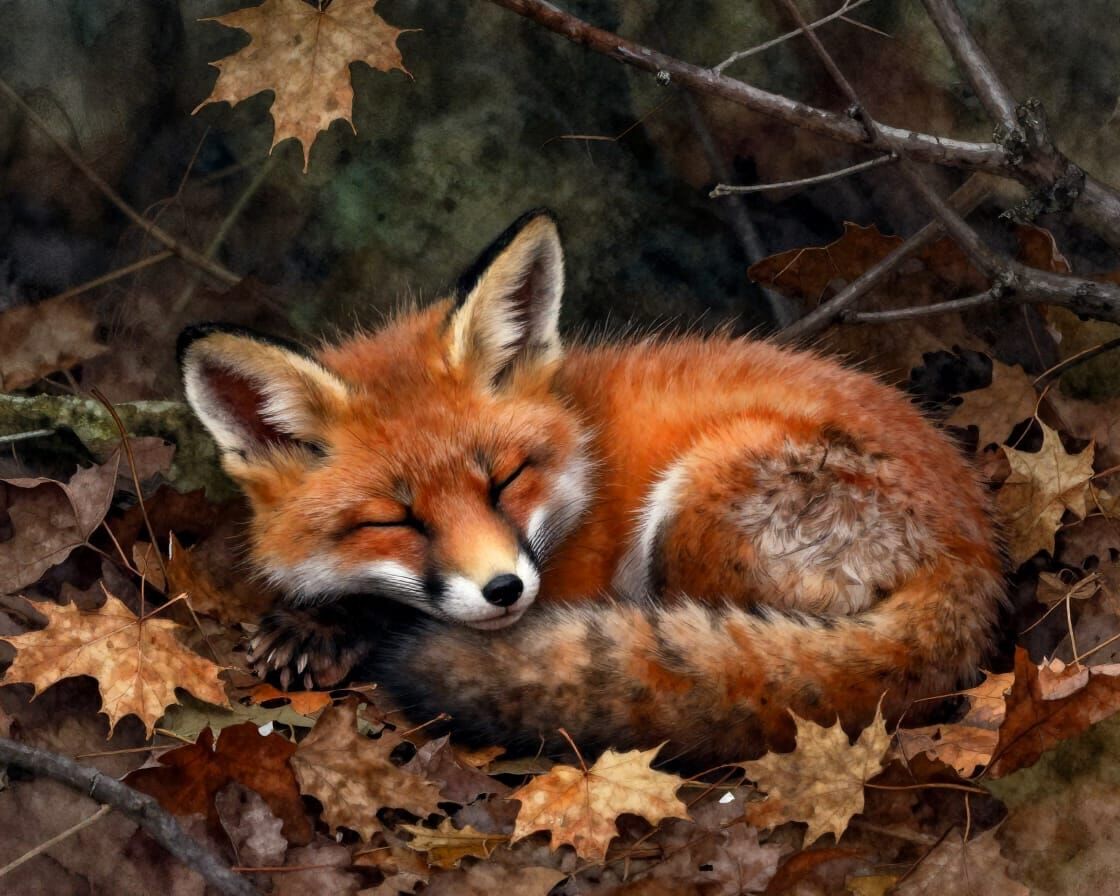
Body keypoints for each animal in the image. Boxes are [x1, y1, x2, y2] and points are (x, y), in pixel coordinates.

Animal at [178, 209, 1004, 767]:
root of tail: (975, 552)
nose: (505, 590)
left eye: (505, 480)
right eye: (397, 520)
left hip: (695, 503)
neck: (582, 459)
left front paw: (329, 624)